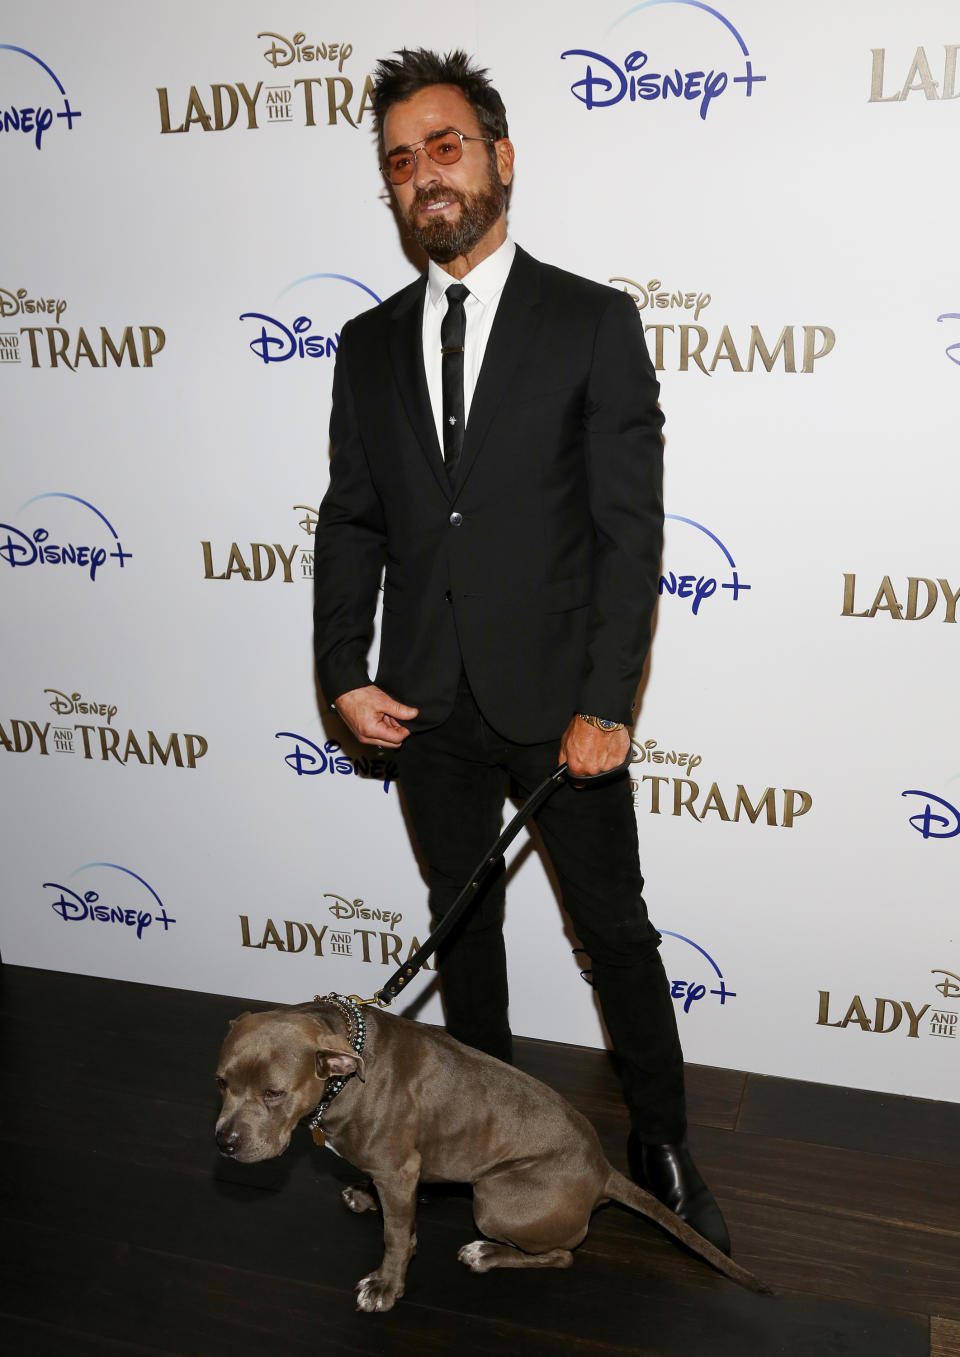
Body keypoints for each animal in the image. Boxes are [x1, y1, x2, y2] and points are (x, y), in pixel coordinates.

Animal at [214, 998, 771, 1313]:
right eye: (221, 1082)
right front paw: (367, 1197)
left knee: (565, 1254)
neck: (344, 1076)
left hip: (493, 1198)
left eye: (273, 1093)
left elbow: (397, 1238)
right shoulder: (400, 1174)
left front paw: (387, 1286)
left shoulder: (400, 1171)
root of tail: (603, 1170)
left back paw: (486, 1254)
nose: (224, 1143)